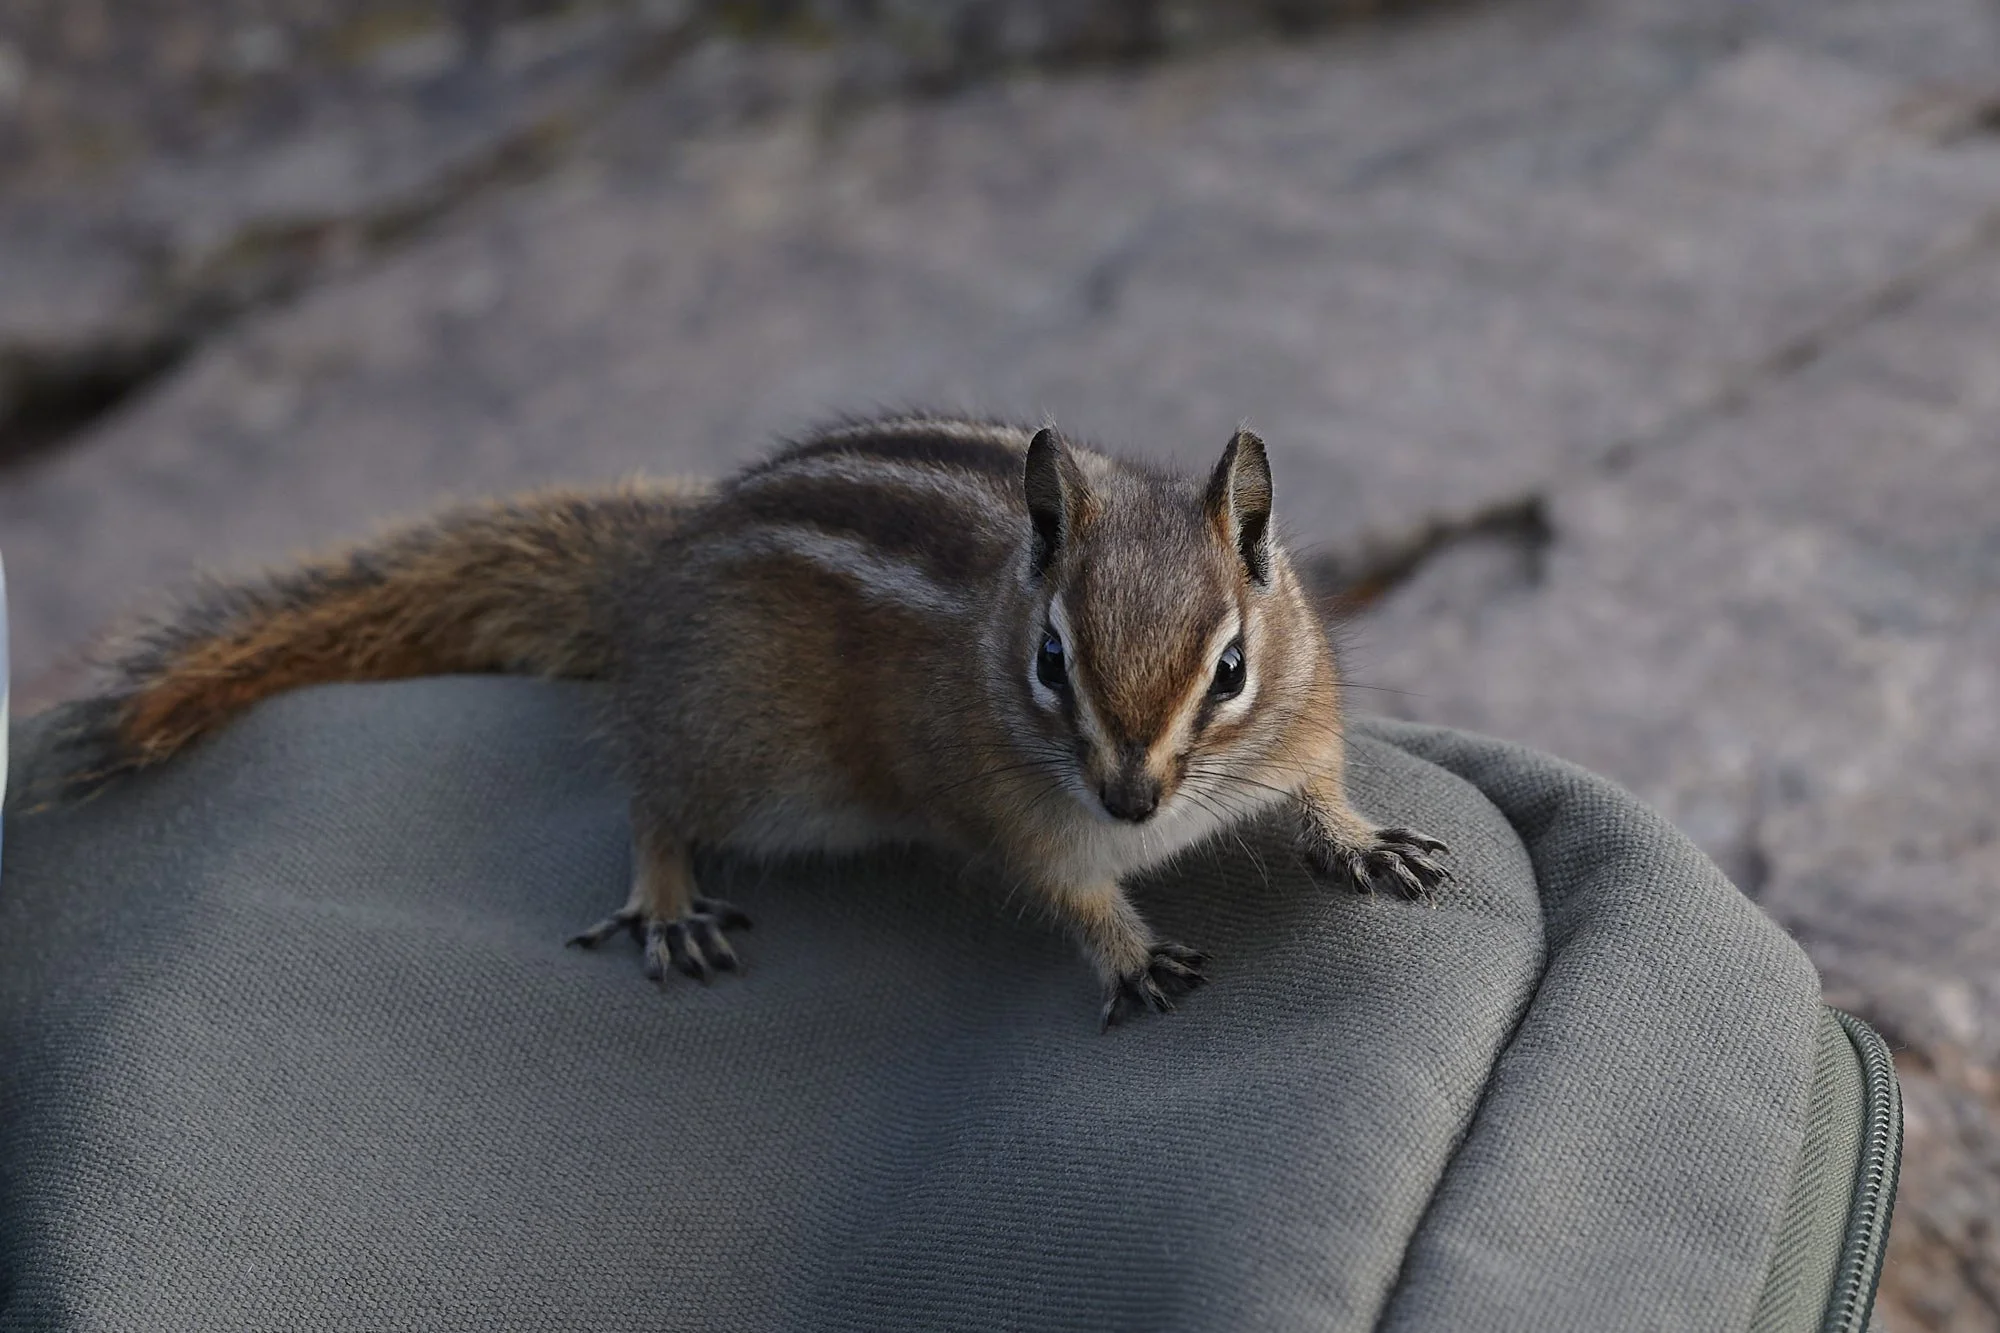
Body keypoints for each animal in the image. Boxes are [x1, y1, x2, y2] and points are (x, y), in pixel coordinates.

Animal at [20, 414, 1450, 1026]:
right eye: (1051, 660)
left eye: (1229, 670)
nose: (1130, 799)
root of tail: (655, 573)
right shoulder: (1010, 810)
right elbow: (1065, 888)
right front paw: (1125, 951)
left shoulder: (1303, 713)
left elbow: (1319, 780)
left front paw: (1362, 838)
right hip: (748, 752)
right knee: (654, 796)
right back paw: (665, 897)